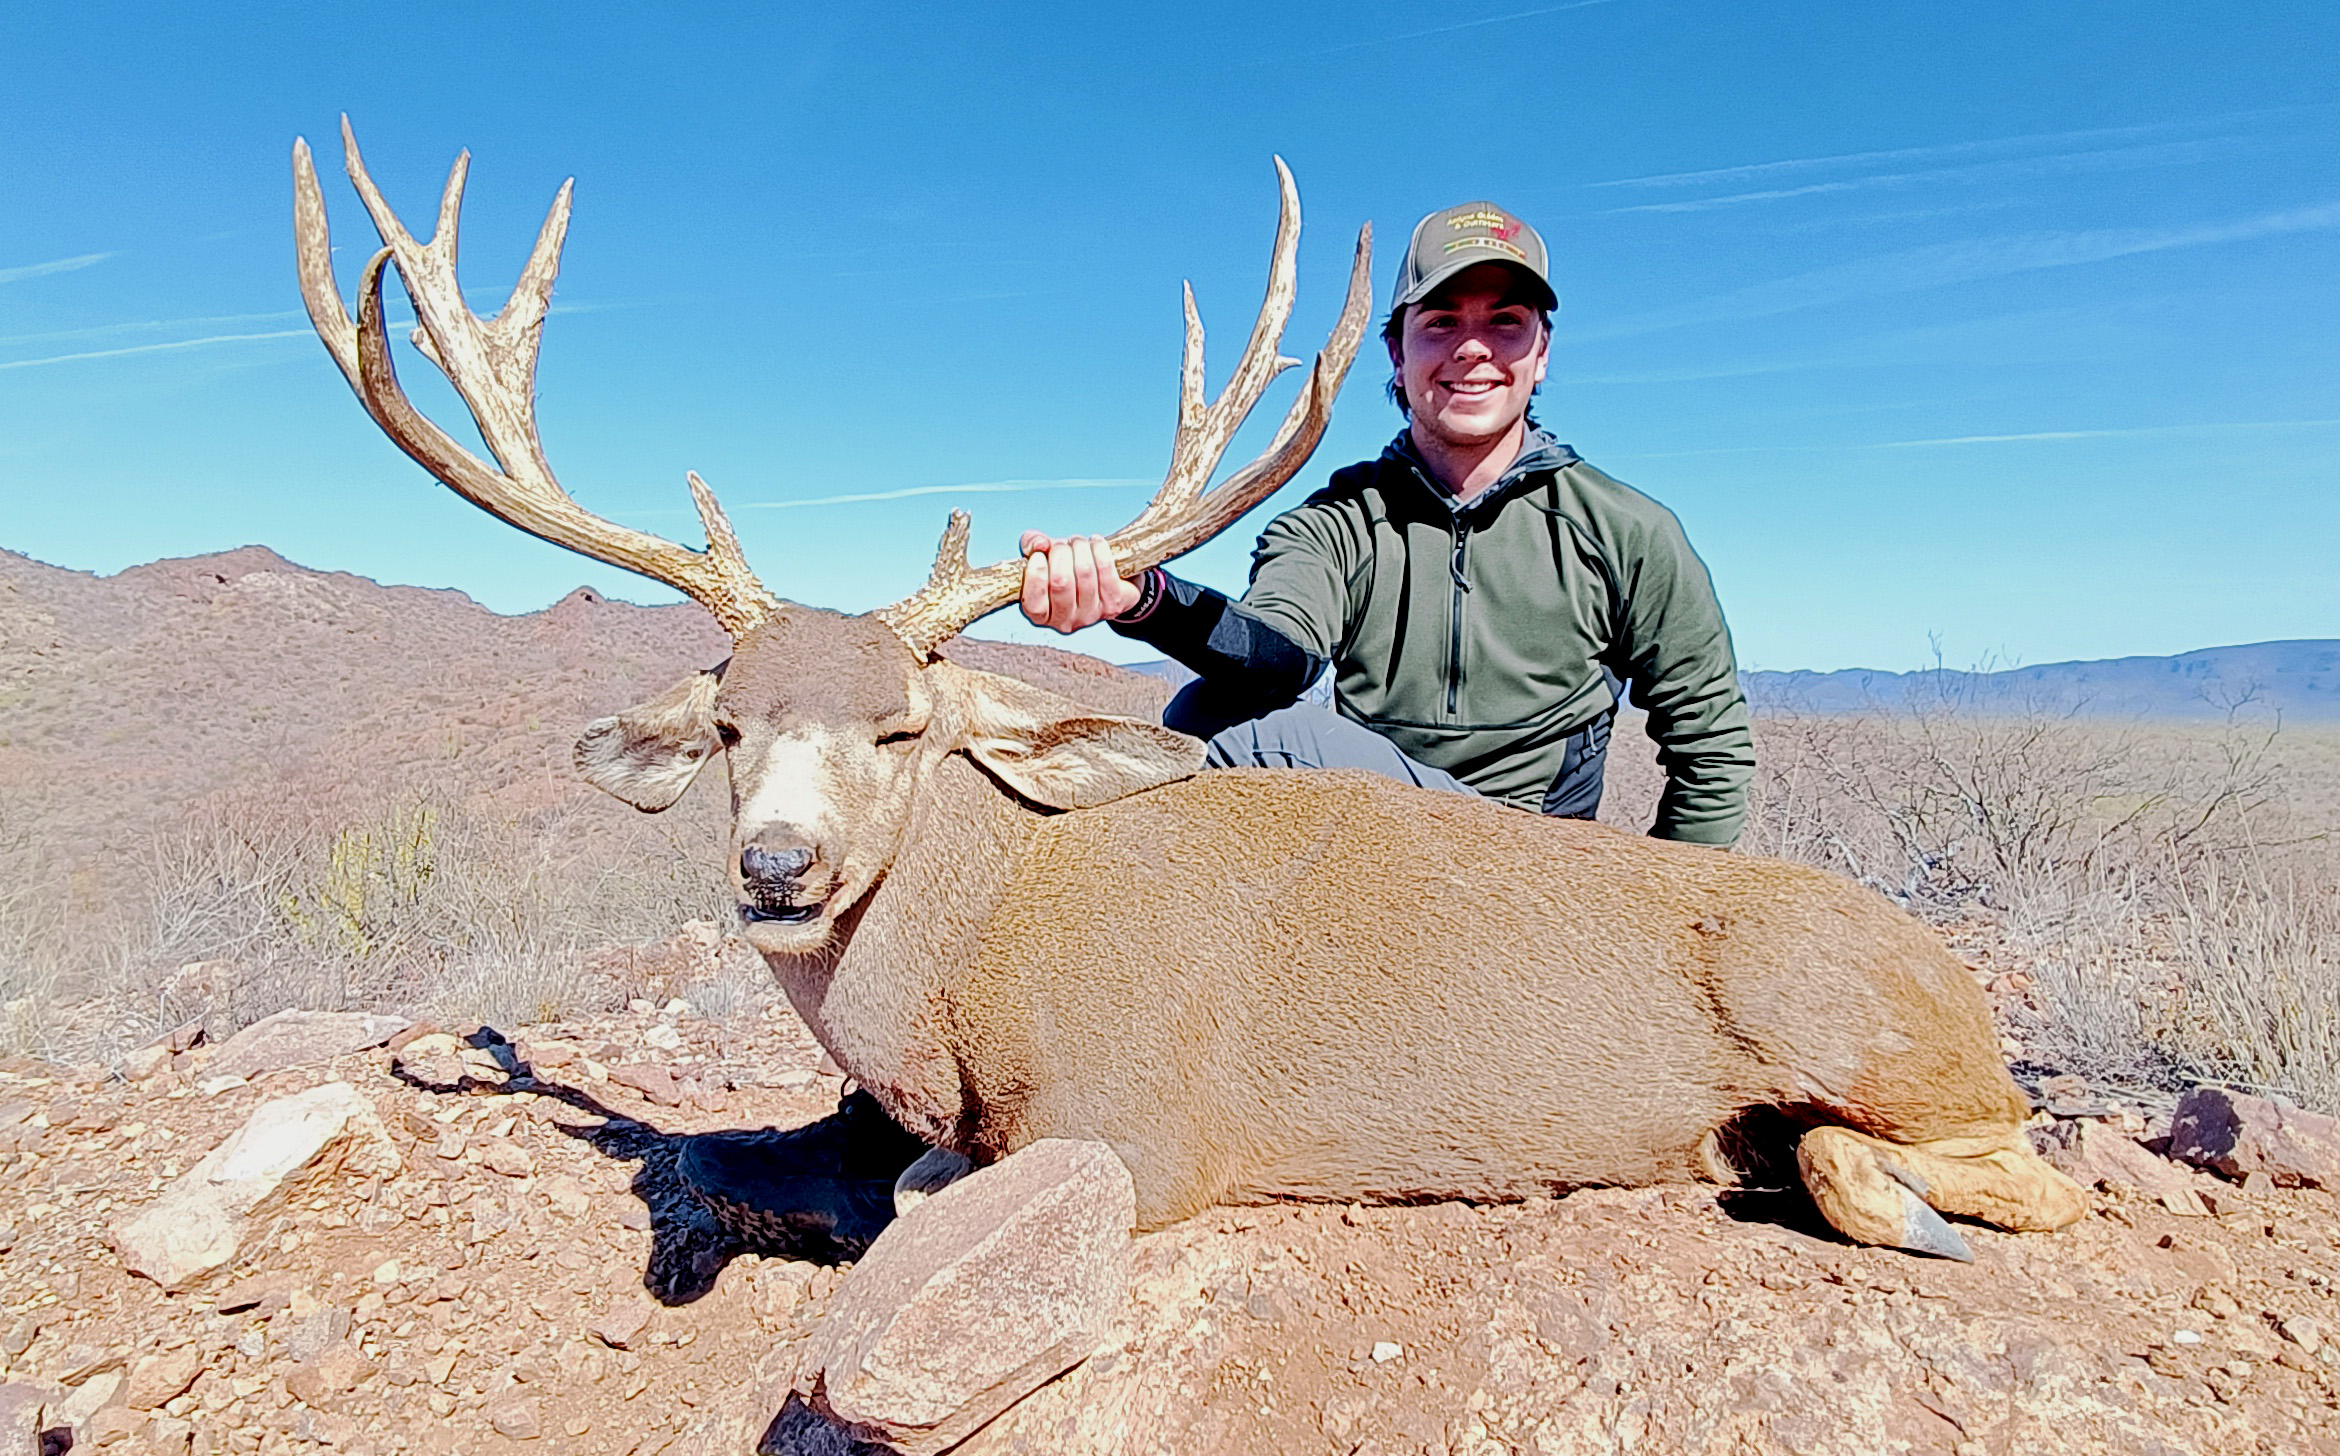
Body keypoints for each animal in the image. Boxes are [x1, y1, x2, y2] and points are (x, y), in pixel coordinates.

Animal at [293, 119, 2087, 1262]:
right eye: (728, 724)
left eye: (905, 728)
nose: (777, 867)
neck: (978, 952)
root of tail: (1949, 975)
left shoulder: (1142, 1130)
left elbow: (925, 1194)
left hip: (1859, 1017)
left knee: (2029, 1163)